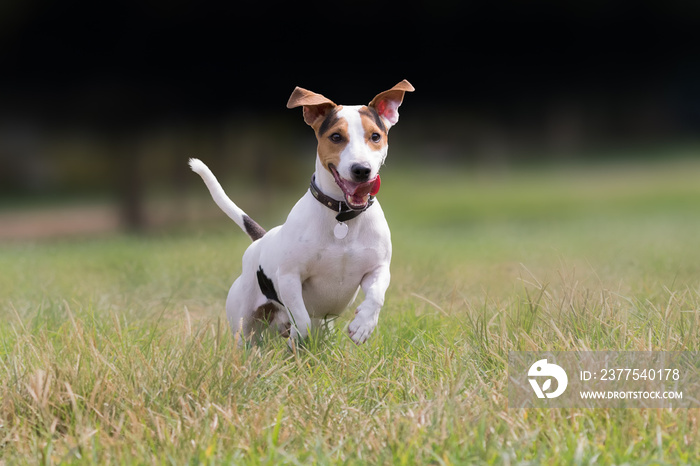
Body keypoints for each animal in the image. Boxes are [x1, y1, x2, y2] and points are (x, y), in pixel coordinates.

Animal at [189, 78, 412, 344]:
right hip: (244, 321)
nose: (361, 170)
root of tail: (261, 240)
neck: (342, 216)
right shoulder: (289, 277)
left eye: (375, 136)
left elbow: (377, 295)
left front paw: (363, 325)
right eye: (336, 136)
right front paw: (297, 335)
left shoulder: (377, 269)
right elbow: (301, 319)